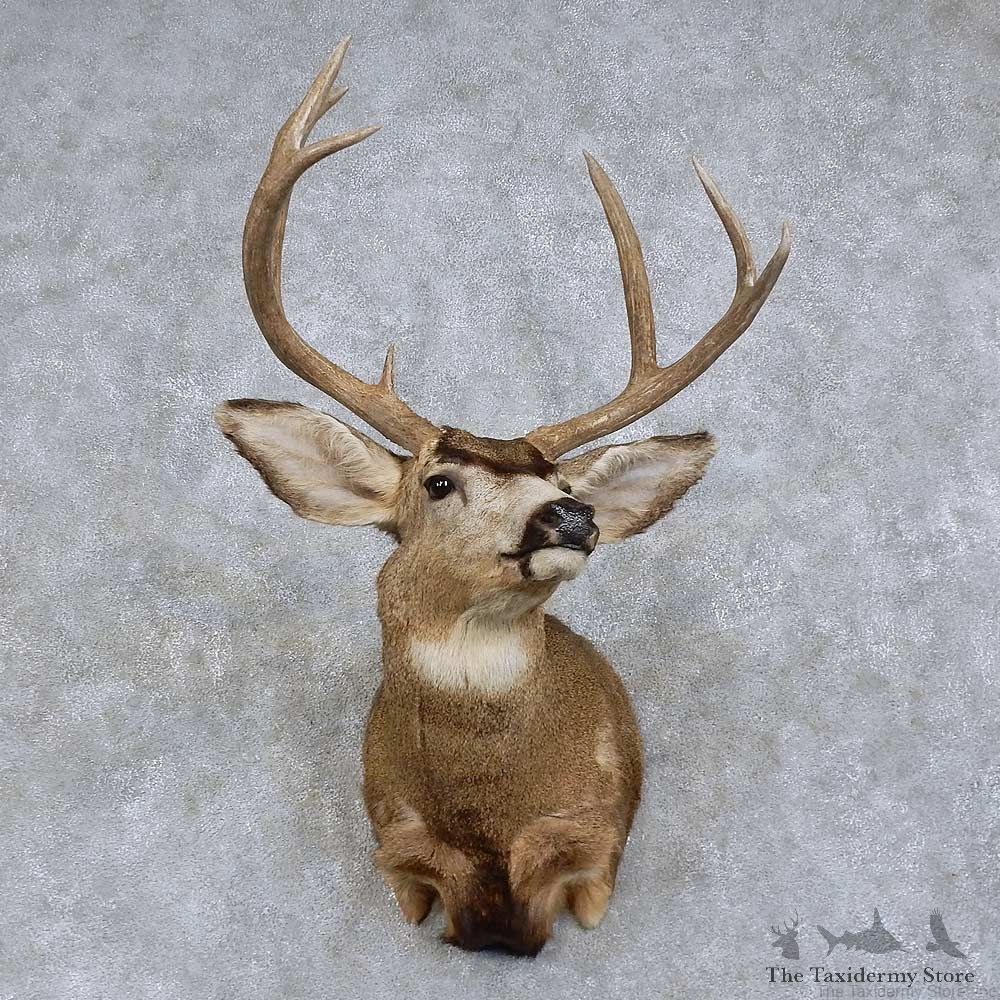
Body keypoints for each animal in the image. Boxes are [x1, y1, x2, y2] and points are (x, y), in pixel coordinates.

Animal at [215, 37, 790, 956]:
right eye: (439, 482)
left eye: (561, 481)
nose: (571, 515)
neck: (489, 819)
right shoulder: (397, 841)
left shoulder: (594, 837)